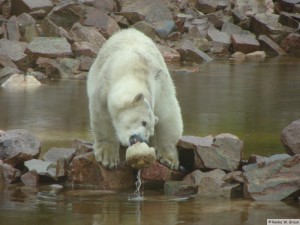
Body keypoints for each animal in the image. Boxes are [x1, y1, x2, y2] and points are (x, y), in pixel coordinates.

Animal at [86, 28, 183, 169]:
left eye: (151, 130)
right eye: (144, 122)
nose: (143, 140)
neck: (136, 69)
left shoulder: (161, 86)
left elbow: (168, 115)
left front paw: (169, 159)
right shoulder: (103, 87)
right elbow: (101, 116)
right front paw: (107, 157)